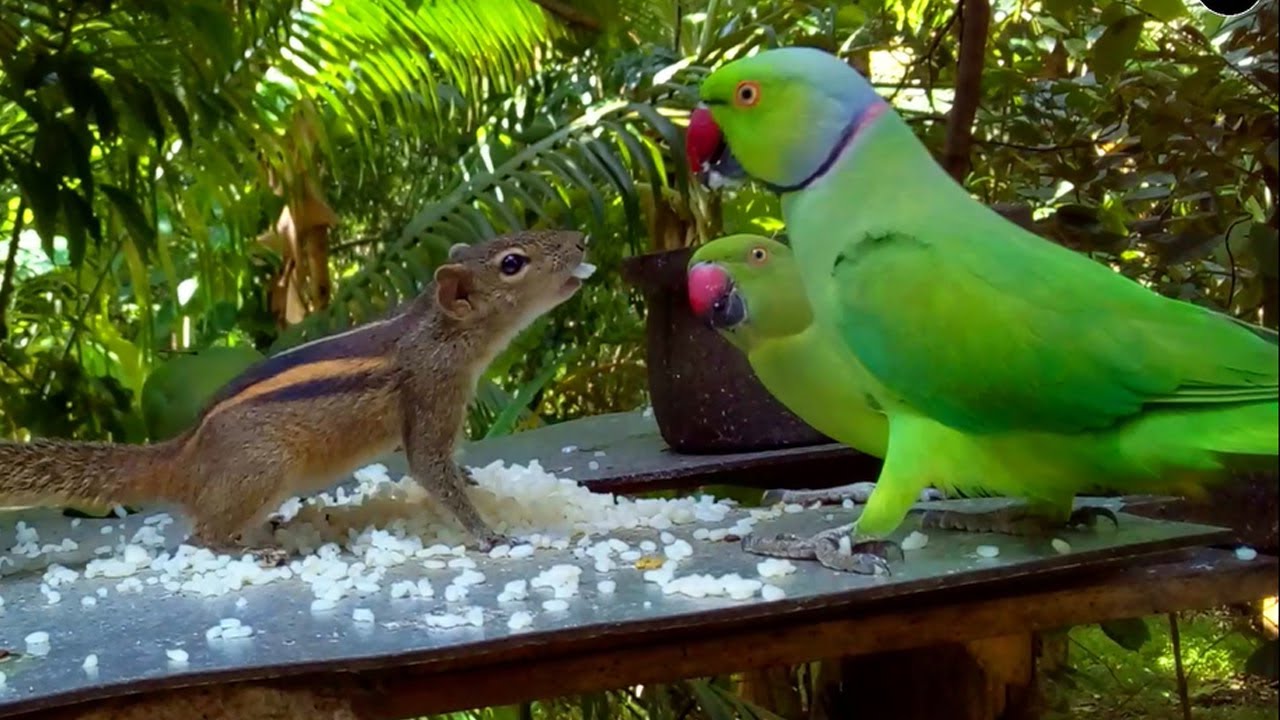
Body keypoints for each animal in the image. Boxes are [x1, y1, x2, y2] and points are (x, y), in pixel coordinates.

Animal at [0, 229, 595, 561]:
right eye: (512, 263)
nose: (582, 240)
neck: (435, 330)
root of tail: (182, 456)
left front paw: (473, 481)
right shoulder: (431, 395)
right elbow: (429, 467)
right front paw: (488, 535)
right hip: (262, 469)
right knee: (203, 535)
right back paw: (254, 551)